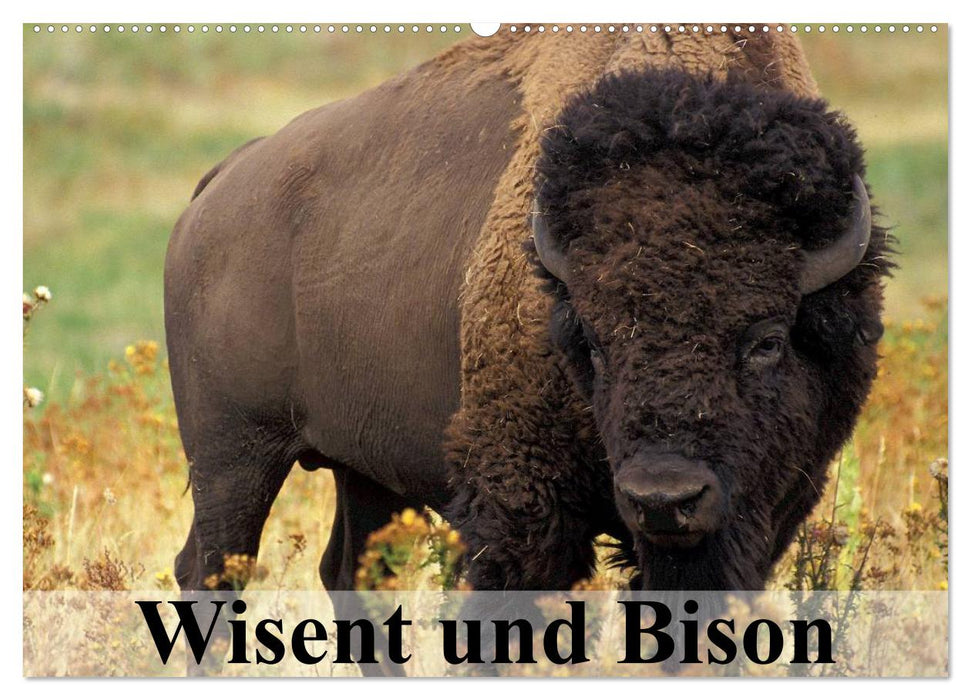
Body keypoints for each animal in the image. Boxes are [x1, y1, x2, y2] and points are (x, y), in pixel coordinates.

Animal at [165, 28, 889, 596]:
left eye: (767, 340)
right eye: (592, 341)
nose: (663, 498)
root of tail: (219, 185)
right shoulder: (519, 507)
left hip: (363, 467)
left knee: (352, 575)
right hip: (232, 454)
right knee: (209, 569)